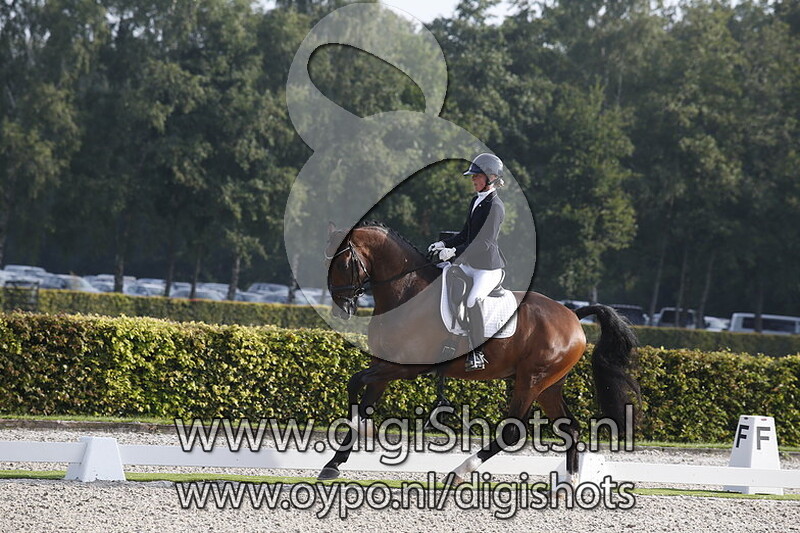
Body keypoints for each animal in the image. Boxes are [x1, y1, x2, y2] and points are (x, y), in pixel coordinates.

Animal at [320, 221, 640, 485]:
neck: (406, 293)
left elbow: (355, 383)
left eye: (344, 262)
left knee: (512, 431)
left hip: (531, 380)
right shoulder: (383, 365)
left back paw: (459, 472)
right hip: (549, 385)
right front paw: (334, 462)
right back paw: (568, 485)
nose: (341, 309)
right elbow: (362, 400)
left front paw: (358, 436)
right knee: (569, 428)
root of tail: (573, 316)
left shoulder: (406, 367)